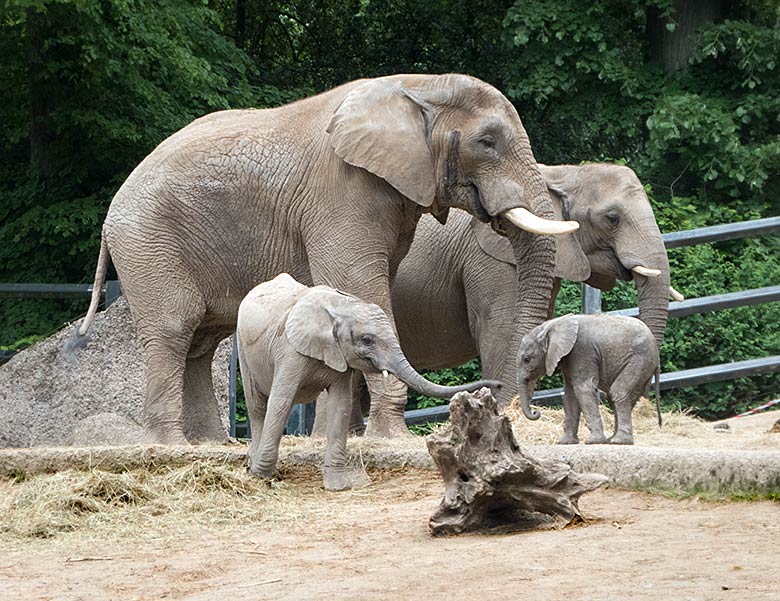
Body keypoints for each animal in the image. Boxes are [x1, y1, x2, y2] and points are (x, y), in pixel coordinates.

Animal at [76, 74, 572, 446]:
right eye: (487, 142)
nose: (500, 401)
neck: (417, 86)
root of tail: (112, 212)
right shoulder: (341, 190)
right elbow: (359, 286)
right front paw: (387, 438)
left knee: (200, 342)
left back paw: (212, 446)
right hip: (149, 244)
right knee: (173, 332)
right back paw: (174, 445)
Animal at [235, 274, 500, 490]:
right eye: (367, 340)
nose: (495, 385)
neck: (341, 306)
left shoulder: (340, 356)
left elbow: (340, 405)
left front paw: (339, 486)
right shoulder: (290, 351)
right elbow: (280, 402)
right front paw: (262, 476)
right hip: (243, 350)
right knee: (258, 406)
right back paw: (253, 468)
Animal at [516, 314, 660, 446]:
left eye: (527, 359)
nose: (536, 412)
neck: (552, 325)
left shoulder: (581, 352)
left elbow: (583, 389)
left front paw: (593, 441)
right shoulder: (568, 358)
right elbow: (570, 394)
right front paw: (565, 442)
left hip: (640, 359)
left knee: (618, 391)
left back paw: (619, 441)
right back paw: (612, 439)